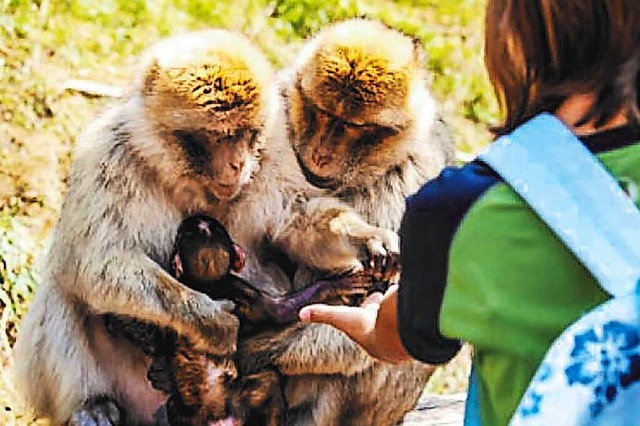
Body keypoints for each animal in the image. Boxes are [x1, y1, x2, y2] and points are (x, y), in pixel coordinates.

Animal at [105, 215, 388, 424]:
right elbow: (281, 310)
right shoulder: (240, 288)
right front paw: (338, 284)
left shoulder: (233, 287)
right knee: (269, 382)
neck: (208, 281)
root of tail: (218, 416)